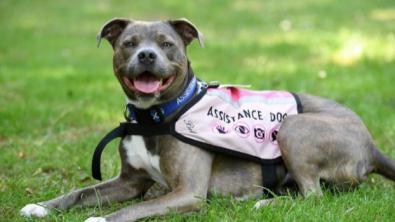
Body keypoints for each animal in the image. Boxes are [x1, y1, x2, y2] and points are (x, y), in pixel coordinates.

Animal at [20, 17, 395, 222]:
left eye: (167, 44)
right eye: (128, 43)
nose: (146, 55)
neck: (154, 116)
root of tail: (371, 145)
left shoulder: (187, 192)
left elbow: (136, 209)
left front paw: (99, 217)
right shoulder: (130, 181)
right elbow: (80, 192)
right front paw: (42, 207)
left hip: (293, 127)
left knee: (313, 196)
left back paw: (262, 202)